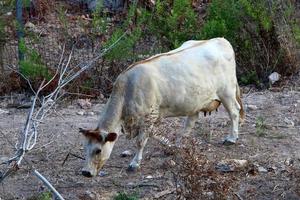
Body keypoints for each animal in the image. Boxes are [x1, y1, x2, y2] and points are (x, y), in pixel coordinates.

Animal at [79, 37, 244, 177]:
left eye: (98, 150)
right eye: (85, 148)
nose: (85, 172)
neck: (127, 90)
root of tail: (220, 40)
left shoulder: (148, 117)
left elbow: (141, 141)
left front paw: (134, 163)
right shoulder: (151, 117)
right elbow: (154, 135)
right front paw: (170, 146)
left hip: (227, 92)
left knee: (234, 112)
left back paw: (231, 138)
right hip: (196, 99)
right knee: (191, 121)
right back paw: (180, 143)